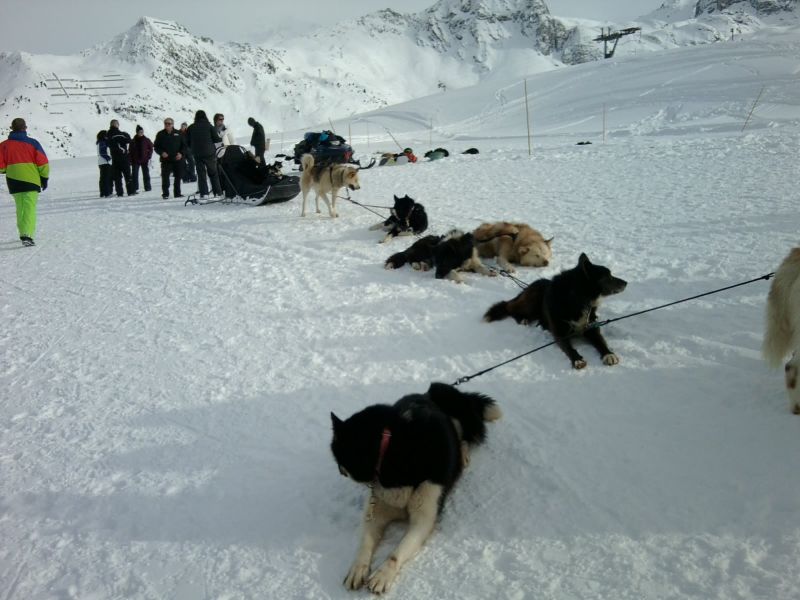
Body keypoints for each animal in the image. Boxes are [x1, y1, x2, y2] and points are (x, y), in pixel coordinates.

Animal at [330, 382, 500, 592]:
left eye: (337, 455)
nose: (340, 470)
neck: (391, 449)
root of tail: (428, 393)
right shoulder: (377, 508)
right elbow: (365, 542)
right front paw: (358, 567)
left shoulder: (424, 517)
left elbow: (397, 552)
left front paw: (383, 574)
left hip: (456, 410)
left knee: (466, 437)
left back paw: (463, 455)